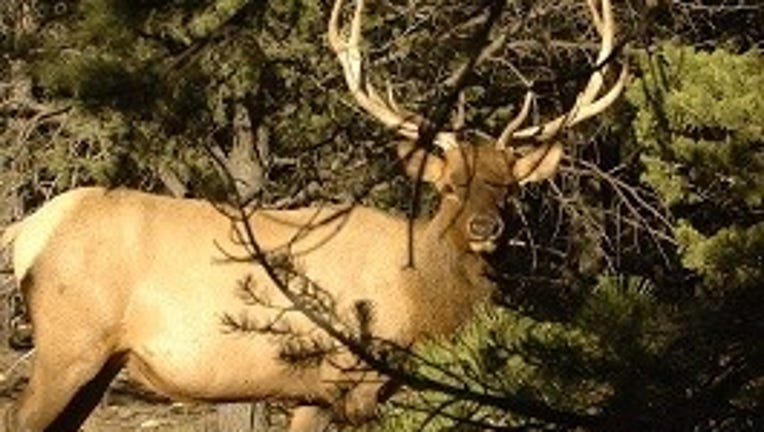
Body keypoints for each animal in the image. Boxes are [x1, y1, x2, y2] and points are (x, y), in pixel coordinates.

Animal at [1, 1, 628, 430]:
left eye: (509, 186)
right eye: (450, 186)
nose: (484, 228)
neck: (417, 300)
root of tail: (27, 230)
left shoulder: (310, 391)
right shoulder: (348, 378)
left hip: (99, 360)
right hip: (69, 343)